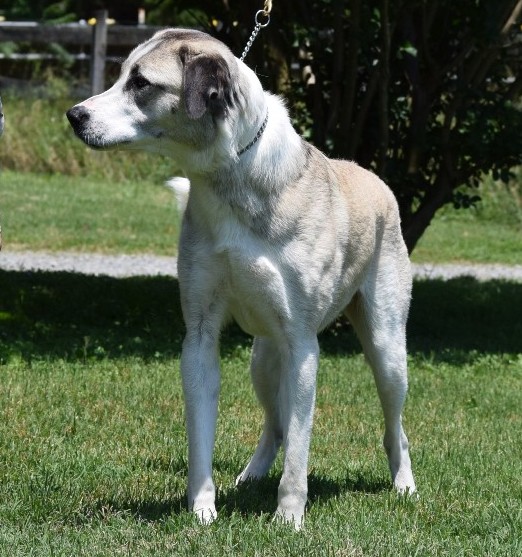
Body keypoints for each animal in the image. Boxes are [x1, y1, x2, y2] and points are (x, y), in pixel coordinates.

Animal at [66, 29, 414, 524]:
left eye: (141, 83)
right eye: (120, 75)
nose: (74, 116)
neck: (228, 173)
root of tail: (378, 183)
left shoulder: (303, 344)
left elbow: (301, 448)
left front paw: (288, 517)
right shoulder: (199, 336)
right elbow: (202, 436)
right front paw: (202, 510)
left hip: (385, 348)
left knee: (392, 425)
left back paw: (404, 485)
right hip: (263, 359)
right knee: (276, 424)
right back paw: (251, 476)